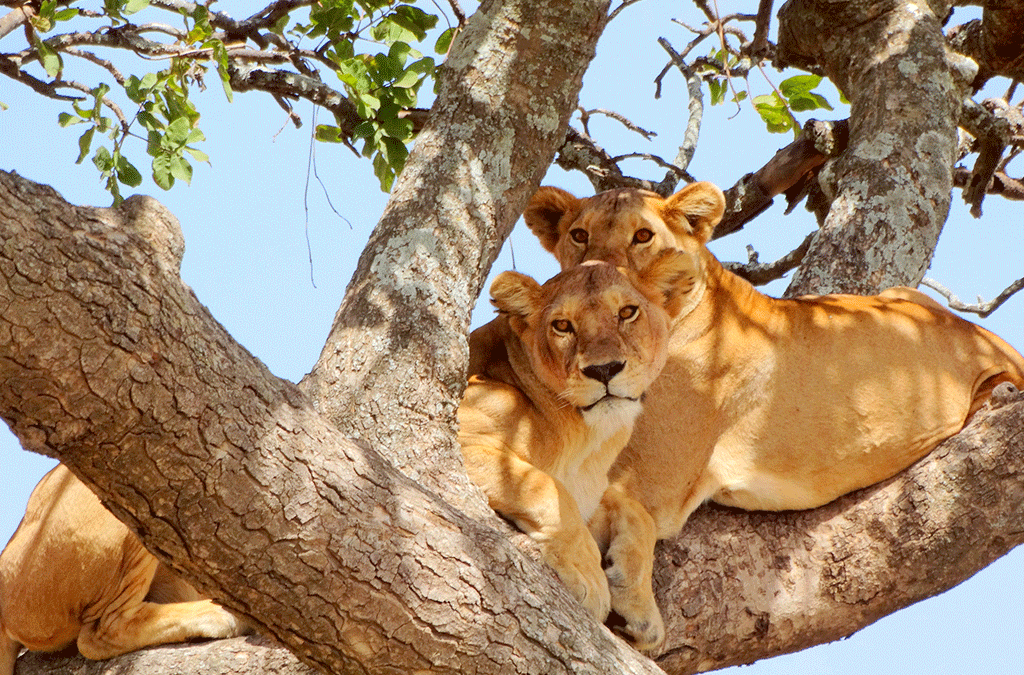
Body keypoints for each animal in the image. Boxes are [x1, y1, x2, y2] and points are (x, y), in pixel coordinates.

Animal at [460, 253, 696, 619]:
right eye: (562, 325)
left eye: (627, 312)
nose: (604, 369)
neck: (586, 441)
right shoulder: (461, 434)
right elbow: (546, 487)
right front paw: (589, 576)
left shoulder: (592, 488)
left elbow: (636, 511)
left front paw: (640, 606)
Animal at [520, 182, 1024, 651]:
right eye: (579, 236)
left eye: (642, 235)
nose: (595, 276)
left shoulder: (653, 485)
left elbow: (623, 508)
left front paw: (637, 606)